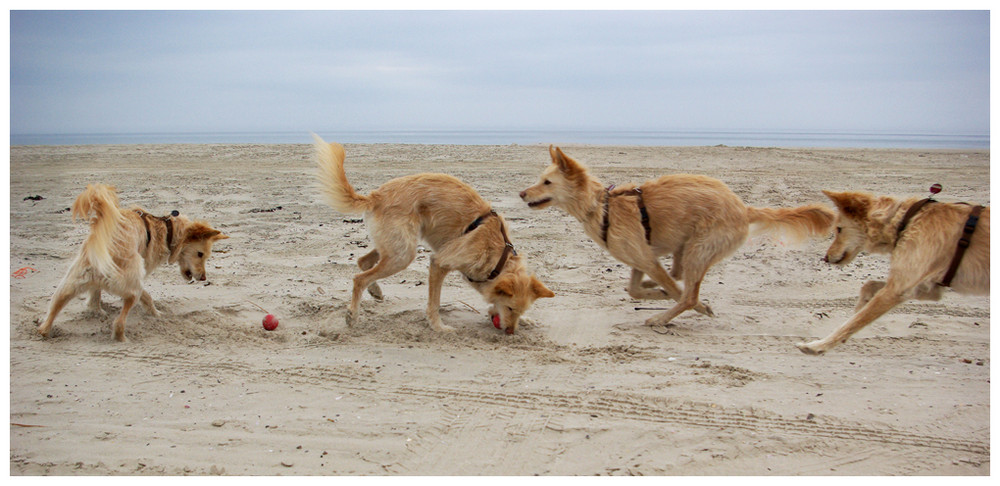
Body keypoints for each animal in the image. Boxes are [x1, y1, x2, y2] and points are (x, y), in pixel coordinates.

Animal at [37, 183, 229, 342]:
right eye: (200, 254)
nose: (203, 278)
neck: (168, 230)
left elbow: (95, 294)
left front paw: (95, 309)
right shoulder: (141, 273)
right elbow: (147, 297)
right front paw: (156, 314)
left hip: (69, 284)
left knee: (53, 310)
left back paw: (45, 331)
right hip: (130, 288)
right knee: (120, 320)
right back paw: (122, 338)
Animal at [314, 136, 556, 334]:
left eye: (519, 310)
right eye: (510, 308)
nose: (510, 332)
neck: (497, 256)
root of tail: (376, 195)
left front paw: (528, 320)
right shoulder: (439, 263)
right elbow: (435, 302)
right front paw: (438, 326)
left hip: (397, 246)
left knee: (364, 261)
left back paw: (375, 291)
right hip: (403, 254)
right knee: (359, 278)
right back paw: (353, 315)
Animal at [520, 146, 832, 328]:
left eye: (546, 182)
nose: (522, 193)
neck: (602, 206)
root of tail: (744, 208)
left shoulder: (646, 258)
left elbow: (673, 290)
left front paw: (679, 299)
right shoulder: (641, 258)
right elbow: (635, 289)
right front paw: (654, 290)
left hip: (699, 249)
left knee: (688, 295)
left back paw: (662, 317)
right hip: (688, 247)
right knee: (679, 275)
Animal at [796, 190, 992, 354]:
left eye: (838, 229)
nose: (826, 258)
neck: (905, 221)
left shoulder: (898, 289)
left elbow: (852, 323)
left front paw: (817, 346)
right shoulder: (927, 288)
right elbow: (867, 289)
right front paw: (861, 305)